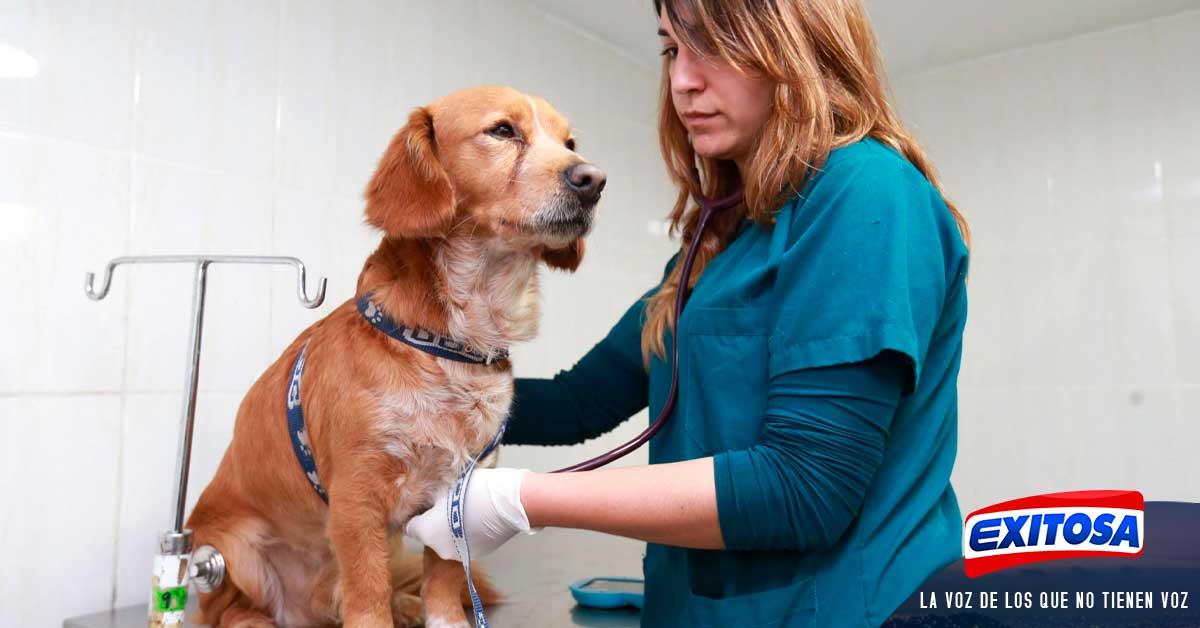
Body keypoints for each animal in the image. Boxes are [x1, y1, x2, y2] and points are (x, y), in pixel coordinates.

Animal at [190, 84, 604, 628]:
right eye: (502, 130)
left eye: (570, 142)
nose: (593, 179)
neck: (454, 346)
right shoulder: (356, 499)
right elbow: (366, 597)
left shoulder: (456, 497)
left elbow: (444, 584)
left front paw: (442, 616)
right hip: (231, 550)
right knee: (229, 607)